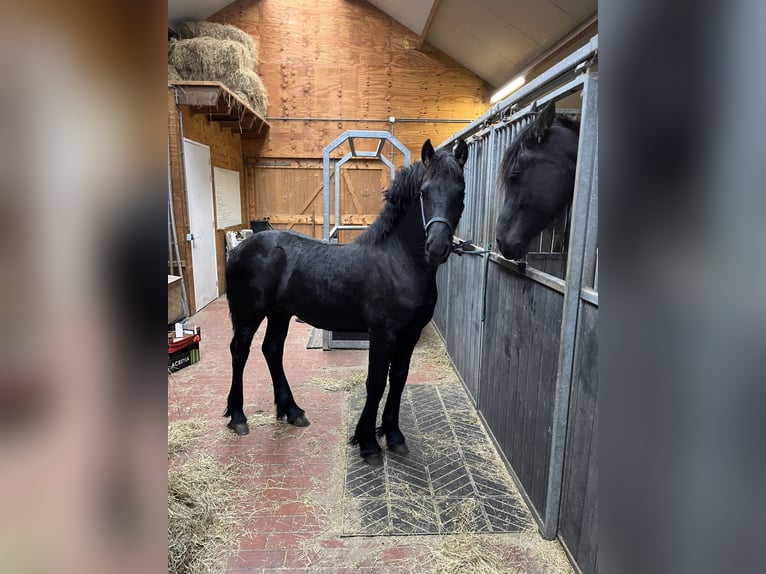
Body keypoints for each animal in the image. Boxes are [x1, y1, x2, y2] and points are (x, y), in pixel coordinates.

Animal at [225, 140, 472, 468]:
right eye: (424, 192)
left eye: (461, 192)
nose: (437, 247)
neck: (398, 262)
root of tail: (241, 248)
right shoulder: (382, 335)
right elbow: (376, 382)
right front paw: (368, 443)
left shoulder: (410, 334)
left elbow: (399, 379)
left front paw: (394, 436)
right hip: (249, 314)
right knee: (240, 352)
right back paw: (238, 417)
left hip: (280, 314)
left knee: (272, 350)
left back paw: (292, 411)